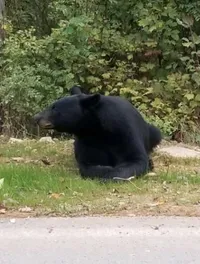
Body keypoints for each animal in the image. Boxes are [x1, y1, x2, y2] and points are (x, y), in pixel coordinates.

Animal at [33, 85, 162, 180]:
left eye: (54, 108)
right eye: (52, 106)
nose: (36, 117)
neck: (97, 129)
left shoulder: (125, 131)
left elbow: (136, 159)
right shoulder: (87, 140)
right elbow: (88, 164)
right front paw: (105, 169)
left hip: (151, 132)